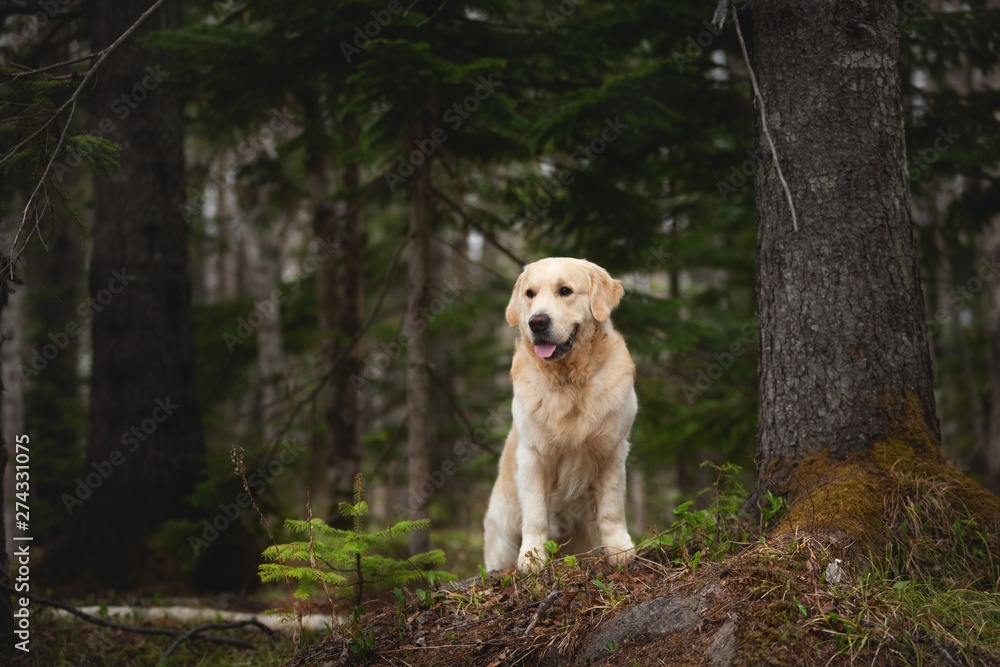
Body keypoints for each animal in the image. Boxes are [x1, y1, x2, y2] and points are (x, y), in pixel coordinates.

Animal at [486, 258, 640, 572]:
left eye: (565, 291)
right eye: (530, 294)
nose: (537, 322)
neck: (570, 382)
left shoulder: (612, 450)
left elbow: (612, 508)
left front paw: (619, 548)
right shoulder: (533, 456)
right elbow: (535, 514)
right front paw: (532, 557)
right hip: (501, 530)